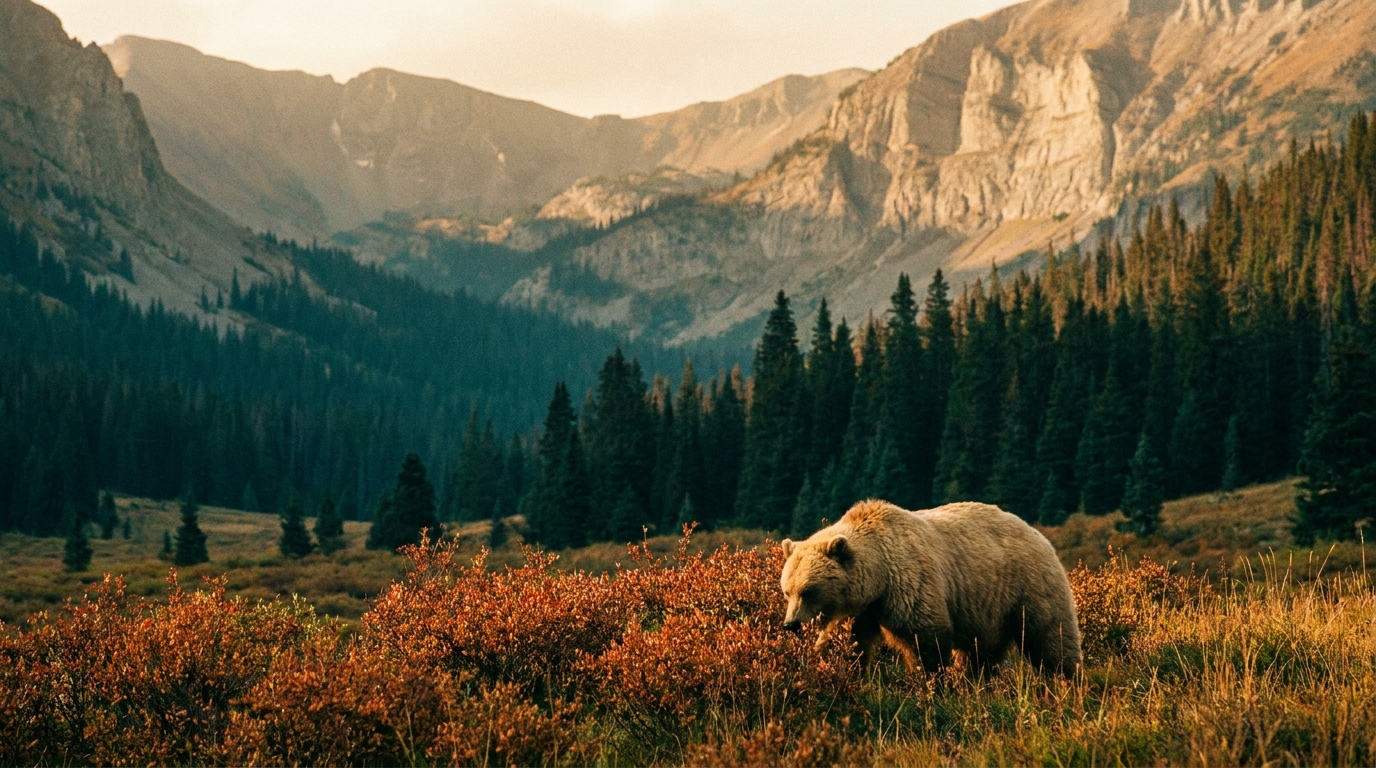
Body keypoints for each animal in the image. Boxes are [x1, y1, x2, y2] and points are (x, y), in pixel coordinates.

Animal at [779, 499, 1081, 676]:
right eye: (787, 591)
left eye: (809, 590)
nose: (791, 624)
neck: (879, 579)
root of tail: (1038, 533)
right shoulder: (858, 609)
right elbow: (846, 644)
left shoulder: (909, 583)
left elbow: (925, 639)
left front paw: (930, 682)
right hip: (988, 611)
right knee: (979, 654)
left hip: (1028, 587)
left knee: (1050, 636)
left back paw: (1064, 680)